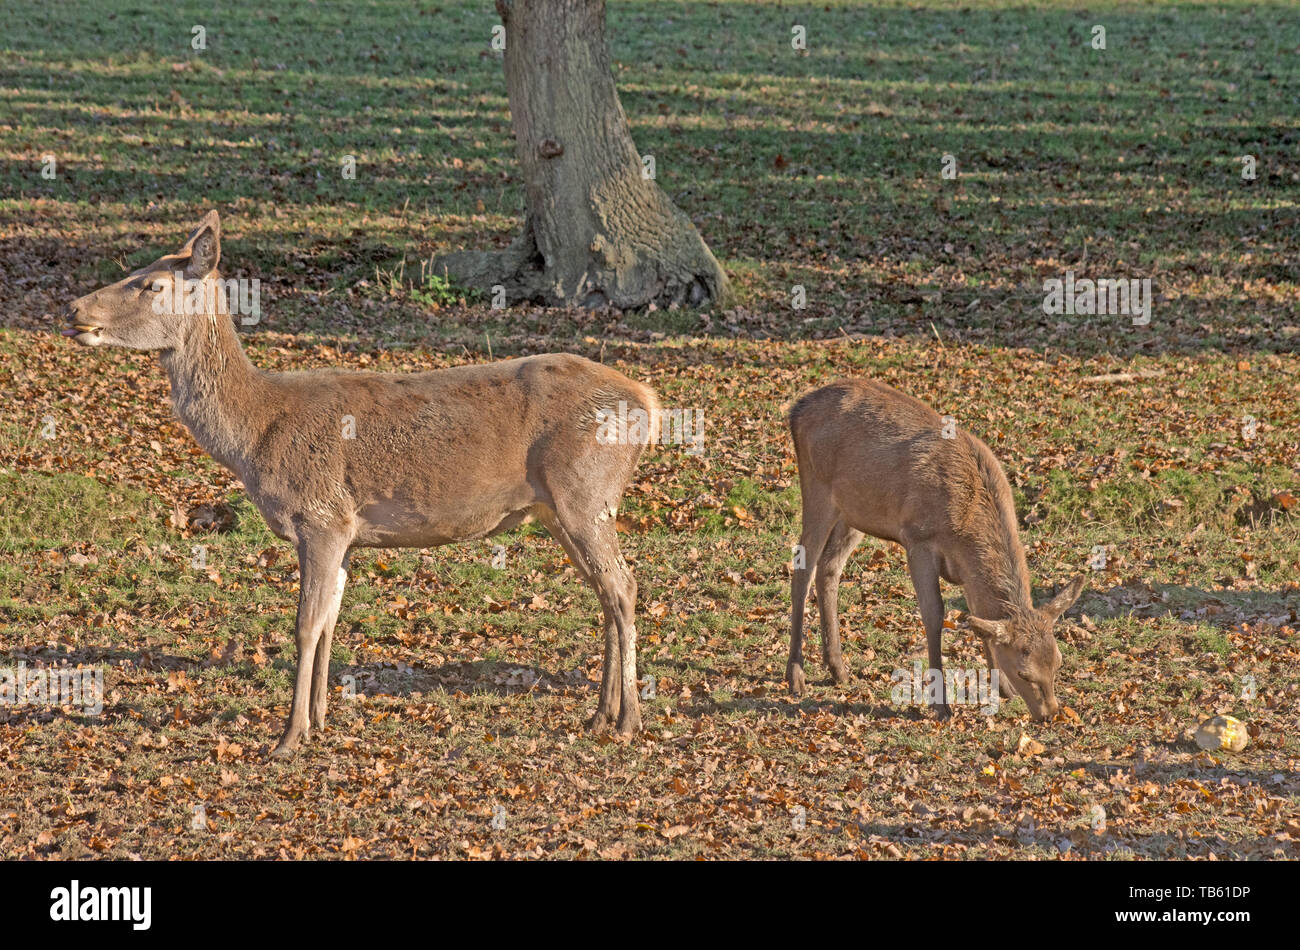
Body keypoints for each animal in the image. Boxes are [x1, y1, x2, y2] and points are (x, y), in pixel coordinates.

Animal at [63, 211, 658, 757]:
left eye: (152, 284)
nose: (73, 310)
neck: (254, 435)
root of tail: (649, 403)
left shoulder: (321, 516)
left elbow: (305, 624)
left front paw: (288, 737)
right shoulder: (345, 531)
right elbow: (330, 619)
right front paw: (320, 719)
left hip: (586, 493)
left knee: (623, 586)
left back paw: (628, 720)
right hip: (561, 510)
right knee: (607, 590)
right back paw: (600, 715)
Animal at [785, 379, 1085, 720]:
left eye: (1057, 661)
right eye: (1025, 672)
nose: (1051, 713)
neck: (964, 527)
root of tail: (796, 410)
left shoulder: (966, 571)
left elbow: (980, 620)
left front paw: (1003, 690)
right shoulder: (918, 539)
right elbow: (934, 614)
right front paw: (940, 704)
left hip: (853, 512)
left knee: (829, 569)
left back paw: (838, 669)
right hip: (817, 489)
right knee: (802, 569)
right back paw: (796, 675)